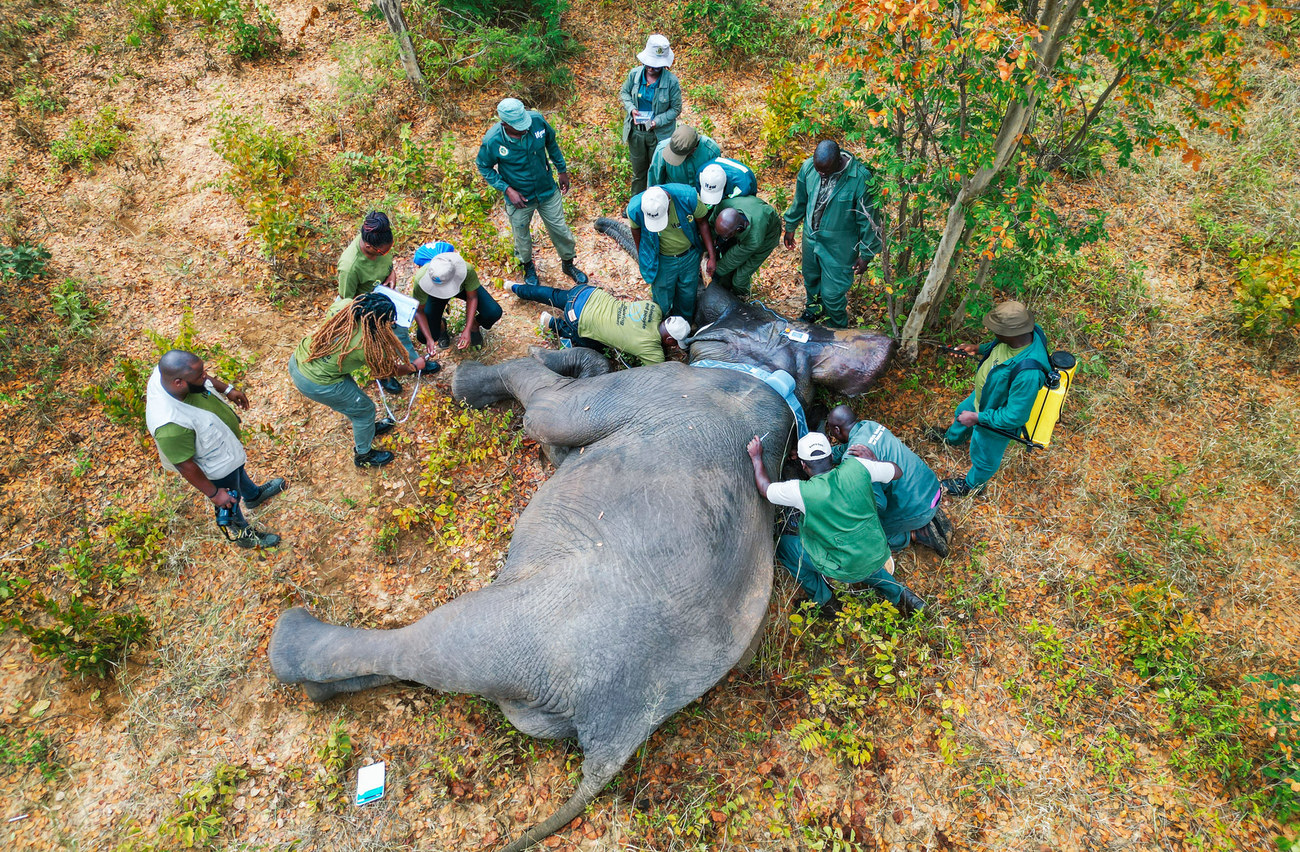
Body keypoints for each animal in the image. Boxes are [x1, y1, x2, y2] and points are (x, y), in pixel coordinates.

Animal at [263, 230, 894, 848]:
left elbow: (545, 409)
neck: (767, 375)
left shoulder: (655, 387)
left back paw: (292, 642)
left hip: (513, 634)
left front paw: (471, 380)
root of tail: (614, 738)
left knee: (428, 647)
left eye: (731, 305)